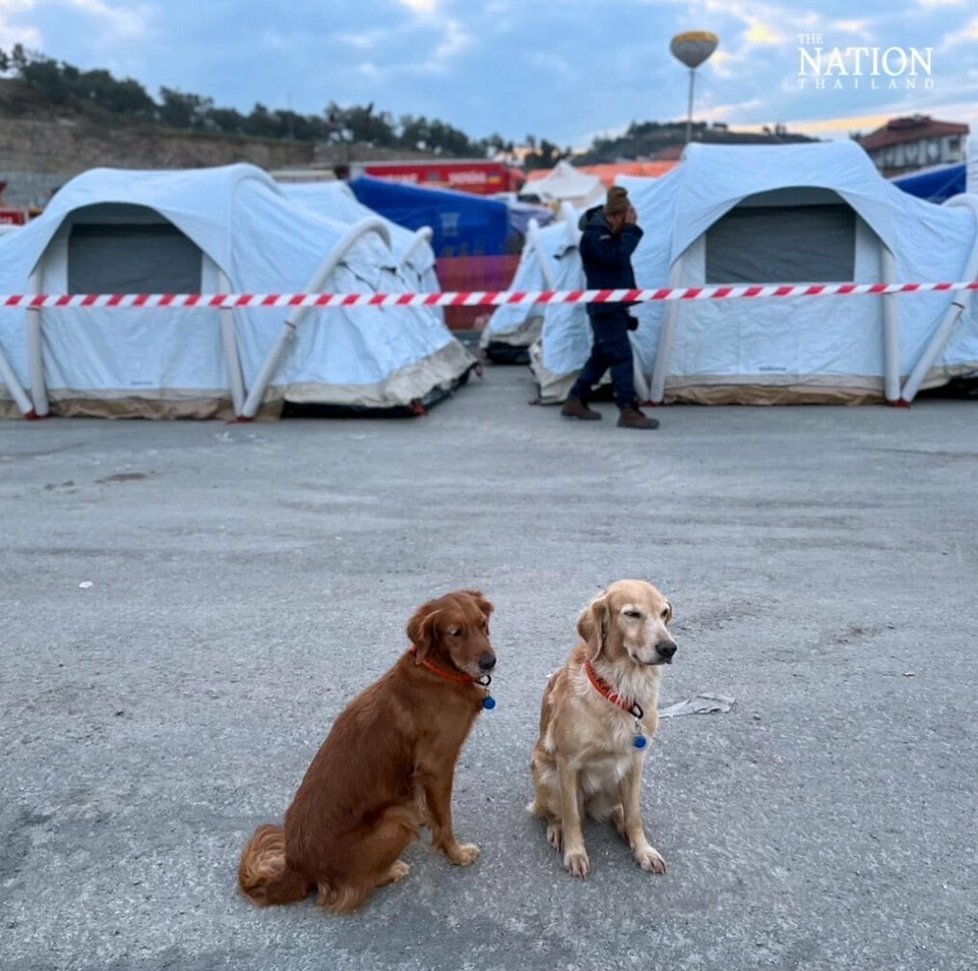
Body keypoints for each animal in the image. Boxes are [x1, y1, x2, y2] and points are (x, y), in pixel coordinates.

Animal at [237, 588, 496, 916]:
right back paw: (391, 870)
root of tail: (296, 866)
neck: (437, 670)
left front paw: (427, 816)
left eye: (482, 624)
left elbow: (429, 805)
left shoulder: (421, 771)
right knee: (349, 888)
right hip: (397, 819)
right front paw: (457, 854)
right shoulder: (437, 765)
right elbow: (446, 821)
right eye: (456, 633)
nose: (490, 661)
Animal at [528, 580, 676, 876]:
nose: (669, 648)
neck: (622, 689)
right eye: (632, 614)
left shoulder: (635, 763)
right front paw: (575, 852)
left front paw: (643, 850)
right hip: (546, 775)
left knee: (620, 810)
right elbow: (571, 816)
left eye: (664, 613)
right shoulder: (567, 763)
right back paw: (557, 830)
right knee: (554, 812)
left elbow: (634, 815)